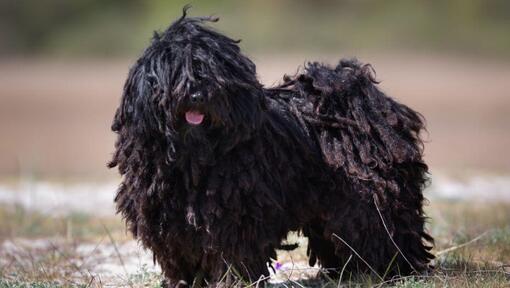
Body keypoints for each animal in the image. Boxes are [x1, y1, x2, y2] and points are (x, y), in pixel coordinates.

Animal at [109, 7, 432, 286]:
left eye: (213, 72)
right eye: (174, 70)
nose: (197, 94)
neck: (193, 161)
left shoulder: (237, 216)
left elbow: (233, 255)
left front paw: (234, 282)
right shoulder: (169, 222)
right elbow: (180, 256)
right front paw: (183, 282)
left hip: (371, 199)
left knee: (385, 231)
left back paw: (393, 271)